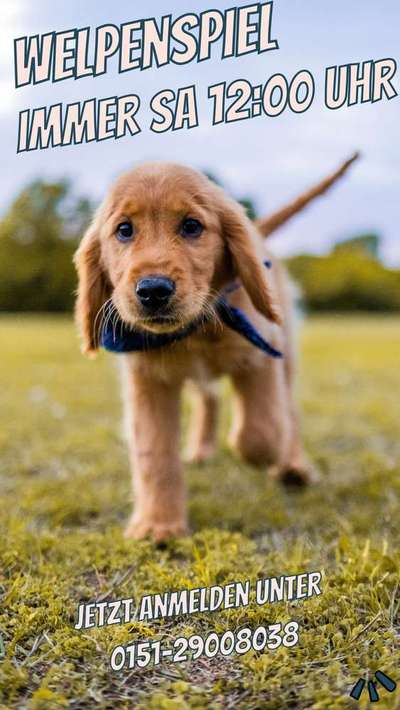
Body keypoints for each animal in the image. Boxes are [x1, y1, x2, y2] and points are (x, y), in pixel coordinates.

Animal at [73, 157, 358, 544]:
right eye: (124, 230)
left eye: (192, 226)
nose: (153, 290)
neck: (196, 330)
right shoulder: (148, 379)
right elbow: (154, 453)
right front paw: (158, 525)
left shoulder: (261, 353)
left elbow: (263, 430)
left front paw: (264, 452)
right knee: (209, 398)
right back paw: (200, 449)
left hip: (285, 352)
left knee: (289, 410)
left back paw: (293, 466)